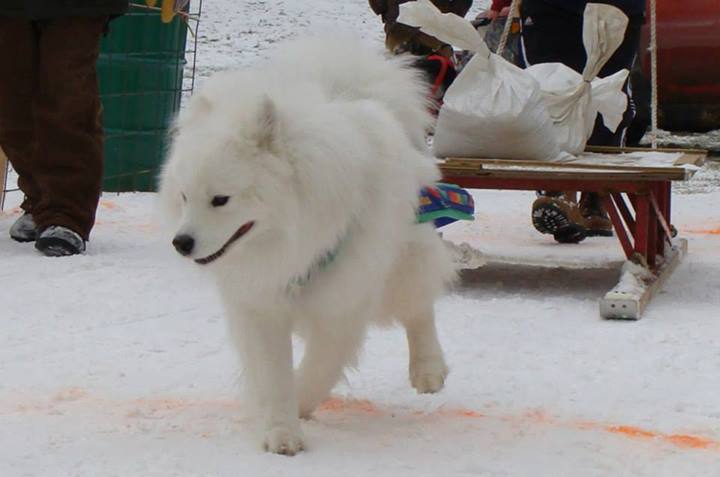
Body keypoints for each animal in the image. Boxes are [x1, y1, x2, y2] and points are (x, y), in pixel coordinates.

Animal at [159, 34, 456, 454]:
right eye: (184, 197)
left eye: (220, 200)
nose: (181, 242)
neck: (294, 240)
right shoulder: (260, 304)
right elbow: (273, 373)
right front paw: (280, 430)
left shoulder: (343, 303)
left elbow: (320, 366)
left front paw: (299, 404)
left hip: (403, 255)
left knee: (418, 306)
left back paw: (428, 369)